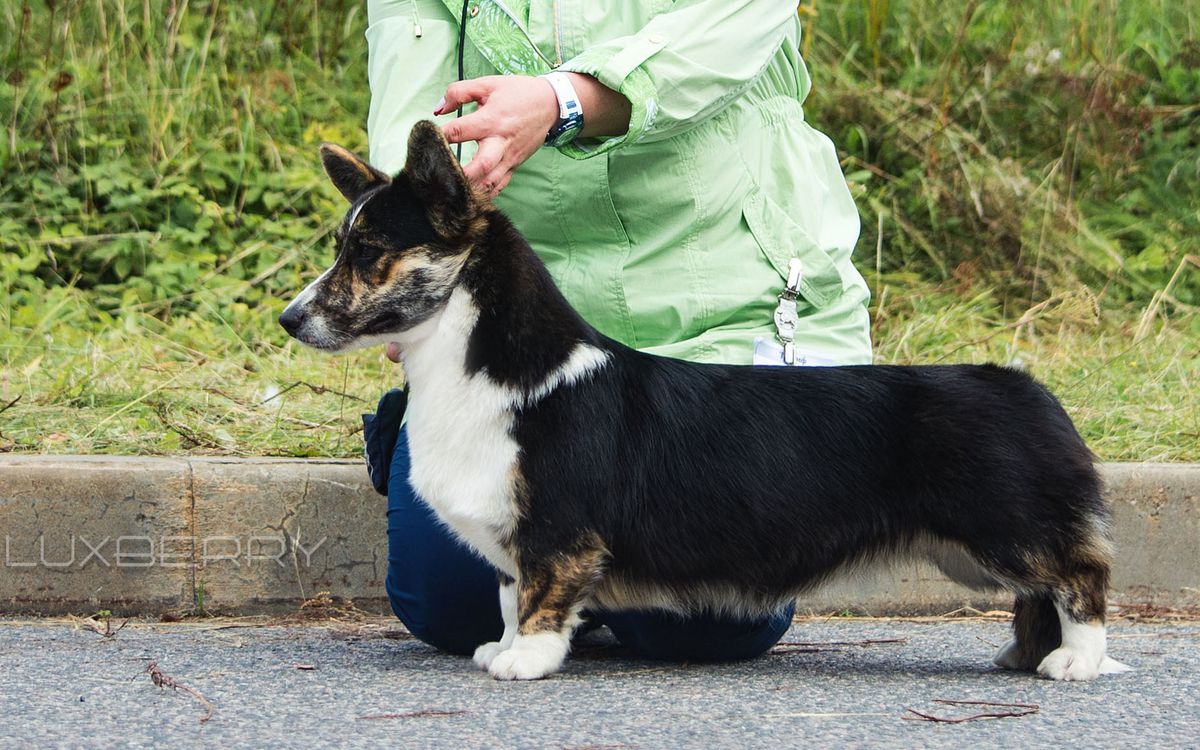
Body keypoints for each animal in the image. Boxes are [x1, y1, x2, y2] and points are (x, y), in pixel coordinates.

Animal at [283, 121, 1132, 676]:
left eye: (368, 251)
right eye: (342, 245)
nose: (290, 319)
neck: (485, 370)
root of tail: (1025, 383)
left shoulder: (557, 531)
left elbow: (540, 598)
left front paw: (525, 660)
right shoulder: (512, 537)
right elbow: (505, 596)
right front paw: (502, 647)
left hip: (1005, 530)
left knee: (1082, 577)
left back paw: (1077, 663)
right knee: (1043, 593)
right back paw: (1025, 655)